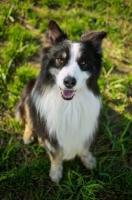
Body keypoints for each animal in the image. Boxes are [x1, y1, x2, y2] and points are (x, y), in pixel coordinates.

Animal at [15, 19, 106, 182]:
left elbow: (84, 148)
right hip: (29, 93)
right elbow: (55, 155)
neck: (69, 104)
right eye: (60, 59)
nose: (69, 82)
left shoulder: (86, 129)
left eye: (83, 62)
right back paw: (28, 136)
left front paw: (89, 161)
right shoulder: (50, 135)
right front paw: (56, 174)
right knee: (29, 119)